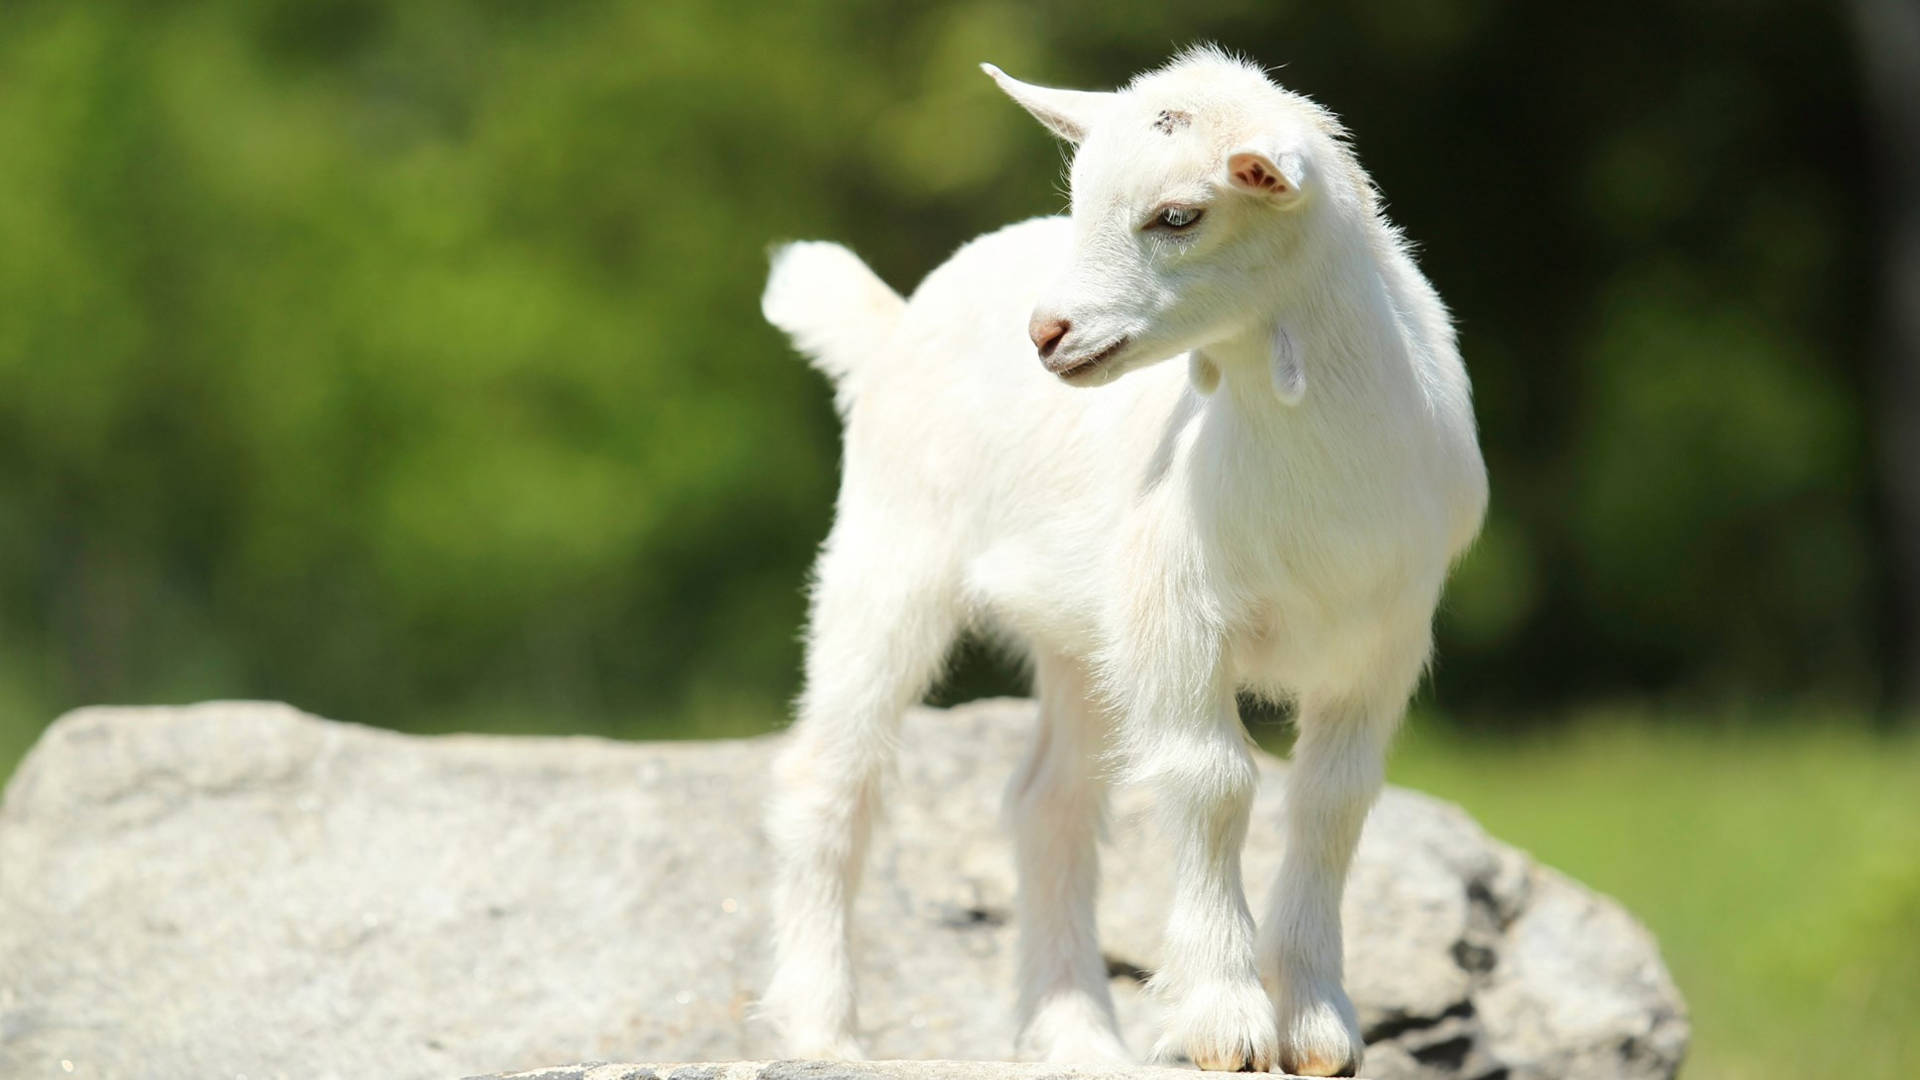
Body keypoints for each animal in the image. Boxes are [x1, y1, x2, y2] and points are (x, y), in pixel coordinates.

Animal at [760, 50, 1482, 1076]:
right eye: (1081, 197)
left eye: (1177, 215)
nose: (1047, 333)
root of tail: (893, 326)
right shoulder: (1175, 611)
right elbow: (1213, 782)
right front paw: (1225, 1021)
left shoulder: (1381, 638)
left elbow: (1333, 803)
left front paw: (1318, 1025)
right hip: (887, 553)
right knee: (832, 779)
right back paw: (823, 1028)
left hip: (1080, 638)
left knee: (1047, 805)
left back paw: (1077, 1038)